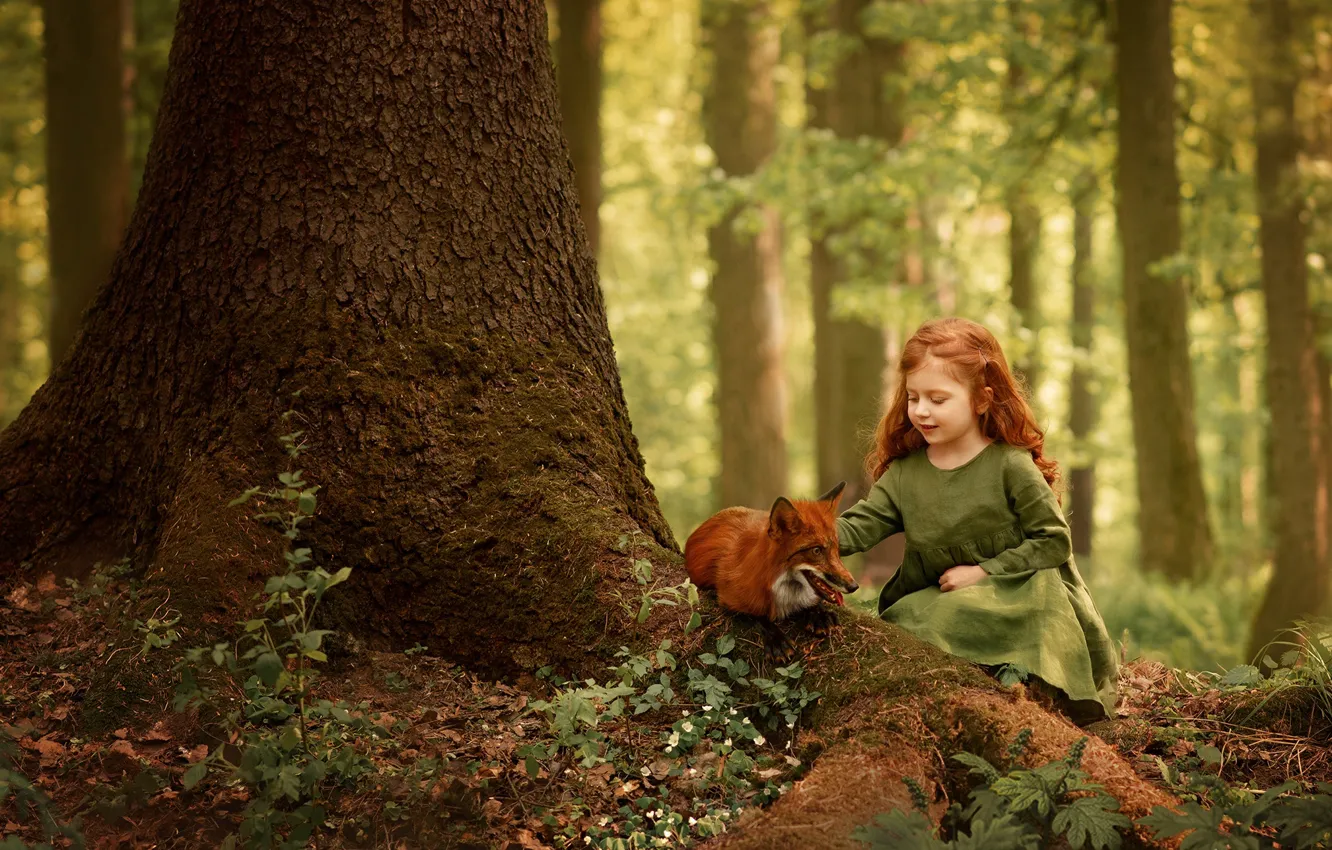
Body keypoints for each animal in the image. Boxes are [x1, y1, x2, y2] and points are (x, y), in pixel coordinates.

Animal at [684, 482, 859, 661]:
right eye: (816, 551)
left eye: (837, 550)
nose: (854, 586)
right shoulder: (729, 600)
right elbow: (758, 617)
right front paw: (777, 639)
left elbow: (812, 602)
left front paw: (819, 614)